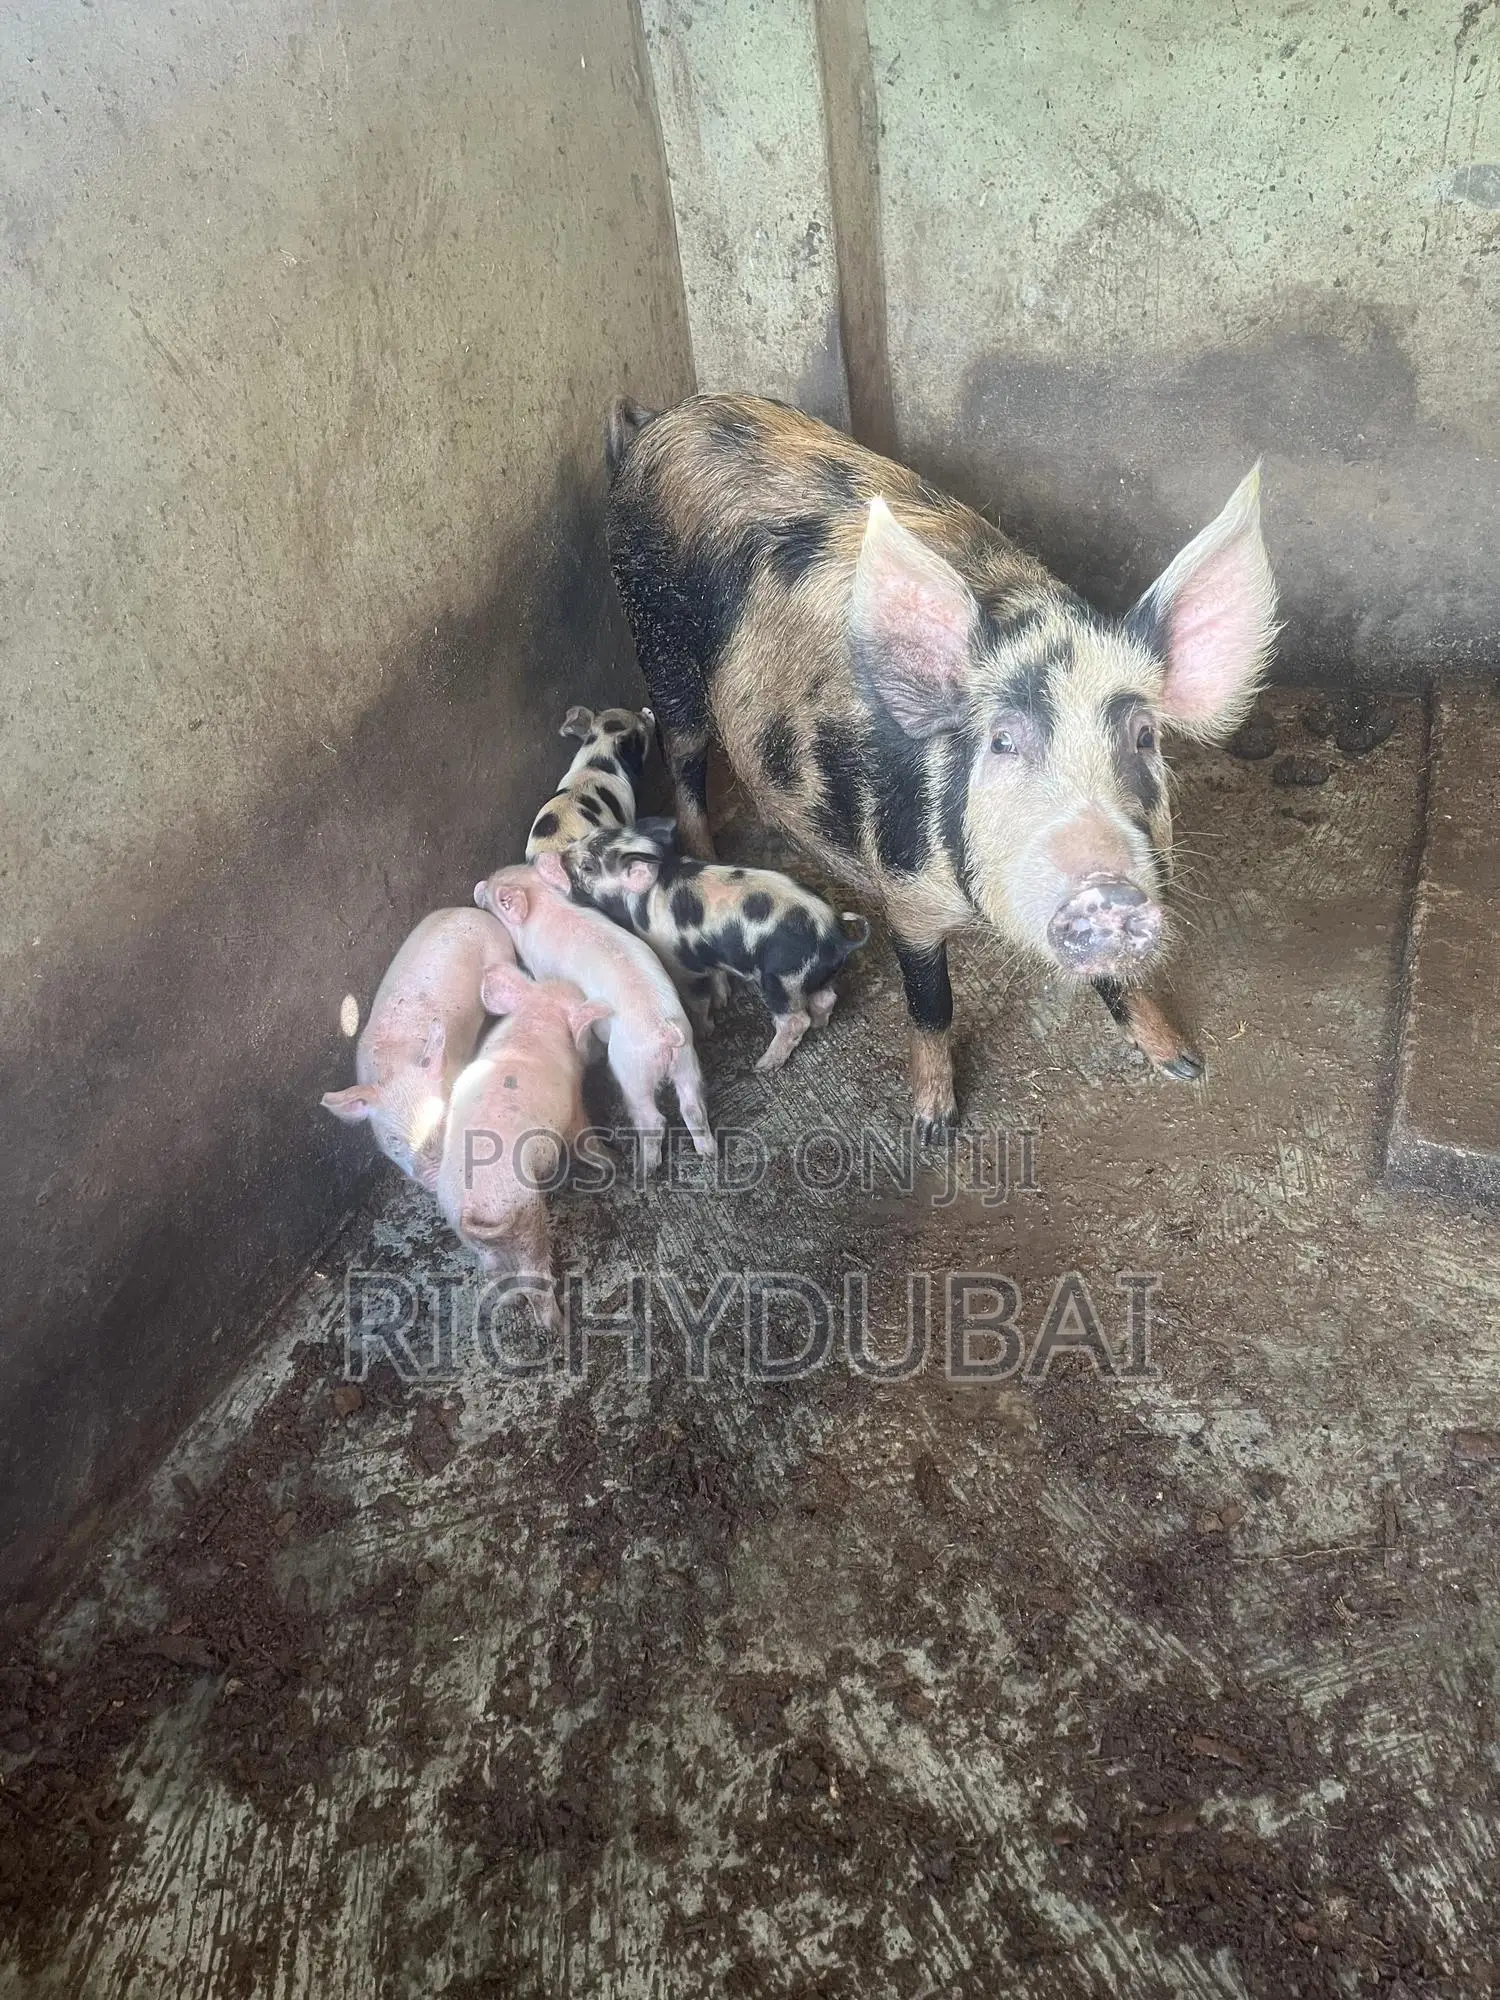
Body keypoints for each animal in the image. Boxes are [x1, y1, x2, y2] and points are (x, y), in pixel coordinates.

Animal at [436, 963, 609, 1323]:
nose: (601, 1056)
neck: (537, 1012)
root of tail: (472, 1205)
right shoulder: (572, 1105)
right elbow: (585, 1138)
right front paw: (613, 1157)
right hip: (526, 1217)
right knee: (535, 1279)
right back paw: (559, 1324)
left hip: (474, 1239)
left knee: (495, 1272)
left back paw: (510, 1303)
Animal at [473, 861, 714, 1172]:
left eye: (496, 895)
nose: (479, 885)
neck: (544, 904)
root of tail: (665, 1032)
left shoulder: (543, 972)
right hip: (687, 1059)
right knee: (693, 1107)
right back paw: (709, 1153)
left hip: (633, 1071)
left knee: (654, 1119)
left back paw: (643, 1168)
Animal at [545, 818, 871, 1071]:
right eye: (588, 835)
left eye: (588, 866)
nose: (561, 855)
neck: (646, 895)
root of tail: (836, 937)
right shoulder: (706, 952)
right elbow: (717, 974)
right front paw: (724, 999)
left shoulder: (681, 962)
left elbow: (698, 999)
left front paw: (704, 1031)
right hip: (811, 977)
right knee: (826, 999)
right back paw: (820, 1025)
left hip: (782, 980)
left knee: (794, 1021)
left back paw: (763, 1065)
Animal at [603, 392, 1278, 1136]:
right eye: (1002, 741)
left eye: (1144, 736)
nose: (1103, 884)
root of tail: (669, 416)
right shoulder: (908, 891)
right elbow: (931, 1001)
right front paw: (933, 1125)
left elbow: (1120, 979)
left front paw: (1184, 1063)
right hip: (656, 636)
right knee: (687, 765)